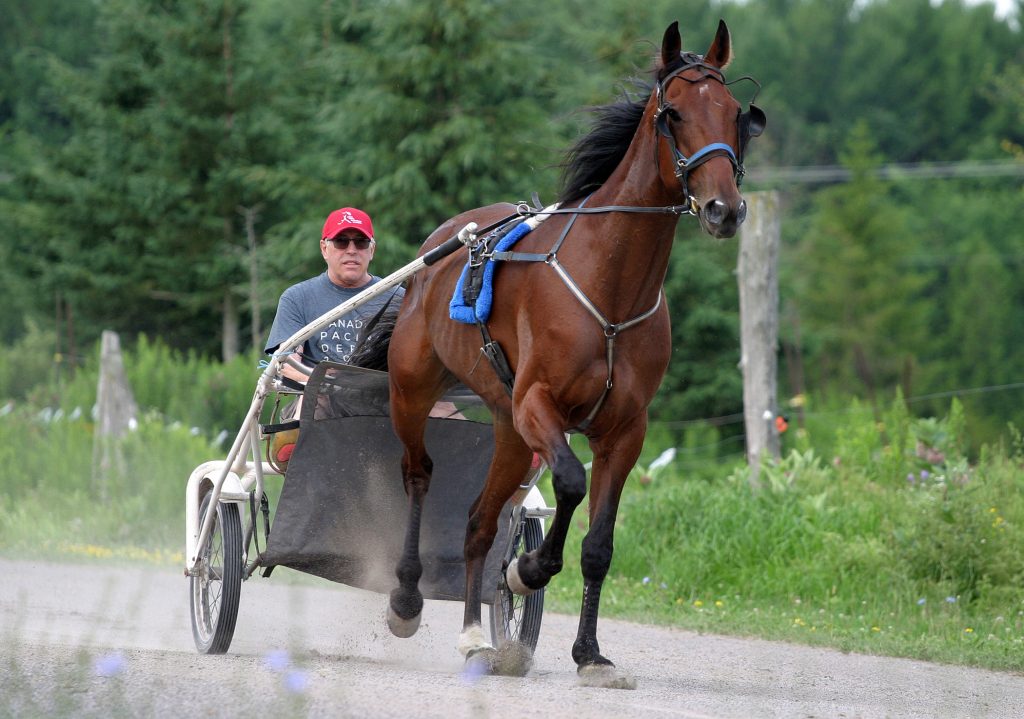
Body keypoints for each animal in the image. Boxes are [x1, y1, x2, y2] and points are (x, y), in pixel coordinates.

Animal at [382, 19, 761, 688]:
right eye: (673, 113)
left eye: (733, 112)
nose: (724, 208)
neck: (609, 289)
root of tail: (447, 237)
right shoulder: (538, 403)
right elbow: (569, 480)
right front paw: (528, 568)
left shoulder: (625, 430)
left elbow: (599, 546)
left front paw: (590, 652)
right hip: (415, 390)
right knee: (420, 474)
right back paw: (407, 598)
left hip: (507, 428)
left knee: (479, 522)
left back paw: (476, 638)